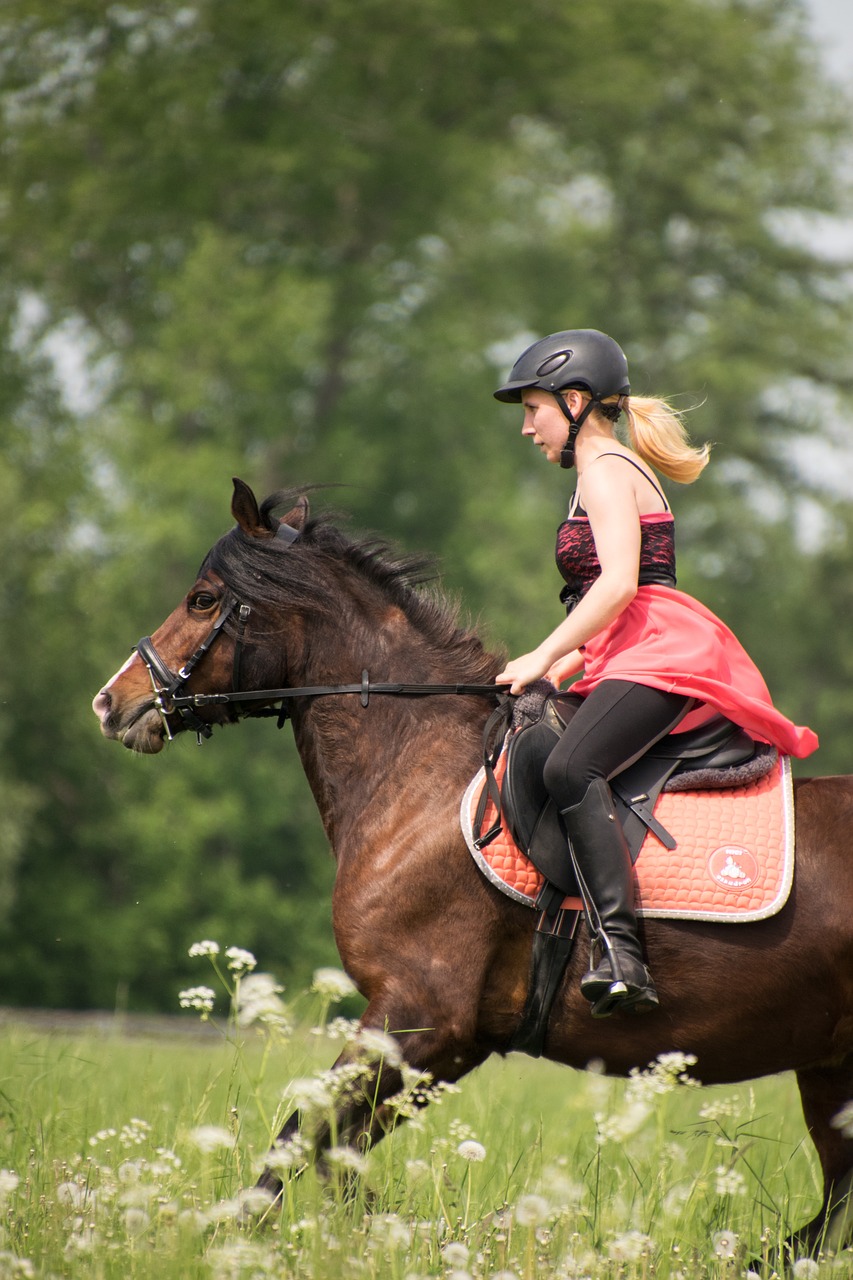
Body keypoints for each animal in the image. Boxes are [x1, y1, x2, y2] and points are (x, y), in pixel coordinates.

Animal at [94, 481, 853, 1259]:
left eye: (203, 600)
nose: (112, 703)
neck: (418, 775)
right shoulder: (454, 1041)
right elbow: (330, 1151)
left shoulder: (420, 1015)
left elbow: (300, 1142)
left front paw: (235, 1244)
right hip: (829, 1072)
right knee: (830, 1210)